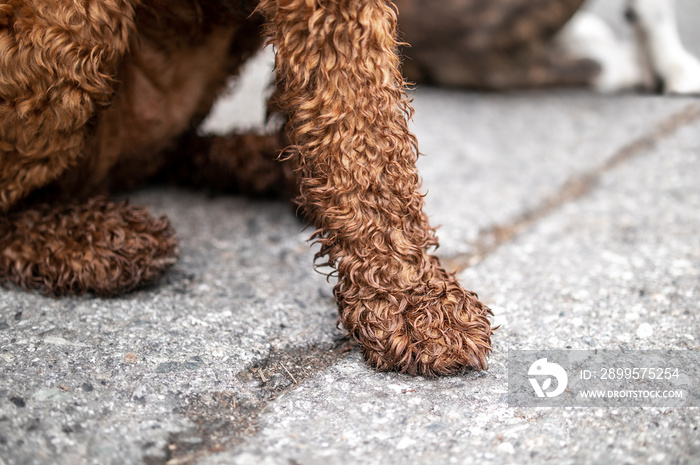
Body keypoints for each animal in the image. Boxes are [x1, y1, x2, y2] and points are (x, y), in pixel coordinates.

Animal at [0, 0, 492, 376]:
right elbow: (362, 126)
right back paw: (83, 240)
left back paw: (271, 166)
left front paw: (413, 294)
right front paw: (412, 302)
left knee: (169, 154)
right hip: (73, 21)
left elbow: (356, 118)